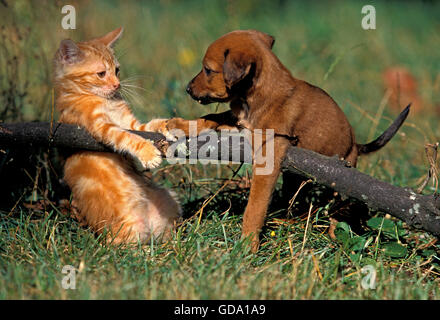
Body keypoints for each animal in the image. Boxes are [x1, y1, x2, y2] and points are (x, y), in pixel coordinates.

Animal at [53, 28, 180, 242]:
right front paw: (148, 154)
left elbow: (147, 127)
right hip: (127, 227)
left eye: (117, 70)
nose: (117, 85)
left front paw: (169, 126)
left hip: (168, 200)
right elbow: (128, 137)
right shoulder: (101, 127)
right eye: (101, 73)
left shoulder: (129, 122)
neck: (104, 100)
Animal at [148, 29, 410, 250]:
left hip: (342, 181)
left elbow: (254, 207)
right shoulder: (236, 118)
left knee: (339, 210)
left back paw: (335, 235)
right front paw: (181, 124)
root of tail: (356, 145)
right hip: (294, 177)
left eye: (208, 70)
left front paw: (247, 246)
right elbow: (210, 116)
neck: (255, 96)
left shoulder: (267, 157)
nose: (187, 89)